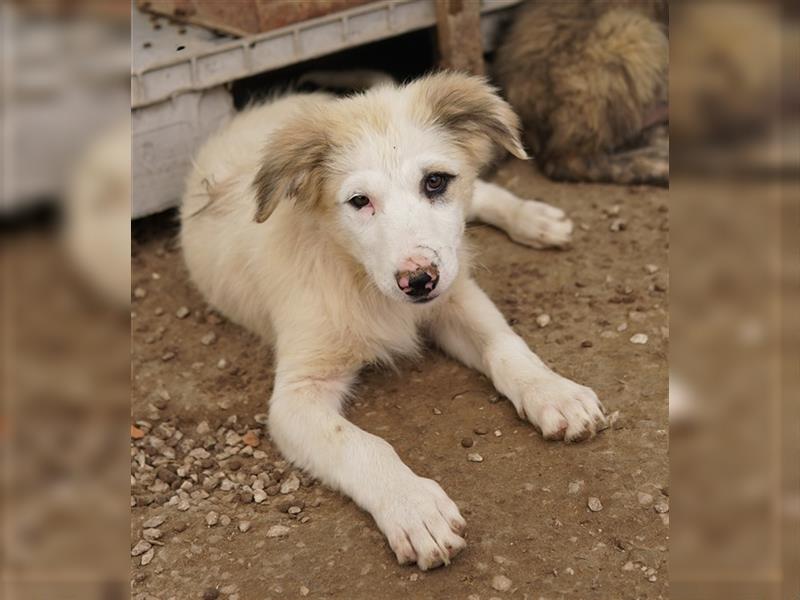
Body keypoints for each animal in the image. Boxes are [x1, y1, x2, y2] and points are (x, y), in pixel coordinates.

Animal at [181, 74, 608, 572]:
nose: (419, 281)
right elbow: (362, 445)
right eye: (359, 201)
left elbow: (506, 346)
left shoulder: (454, 293)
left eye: (435, 181)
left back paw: (533, 219)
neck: (360, 277)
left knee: (480, 193)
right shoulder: (296, 397)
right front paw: (414, 507)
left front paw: (553, 393)